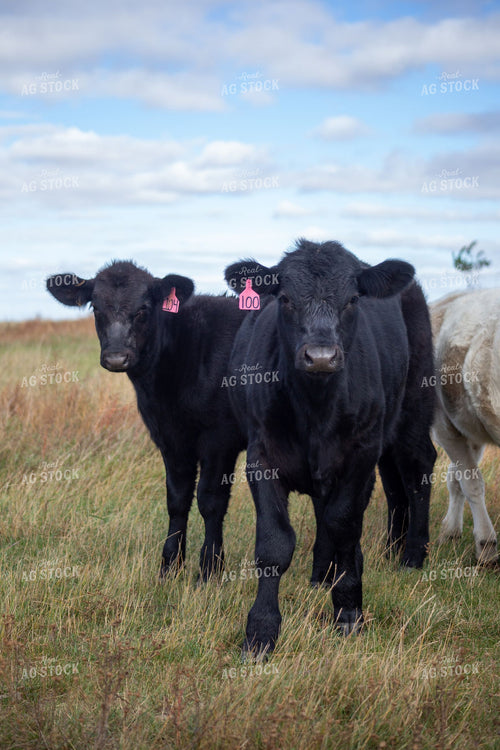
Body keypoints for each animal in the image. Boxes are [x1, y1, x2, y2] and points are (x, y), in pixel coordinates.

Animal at [46, 261, 246, 580]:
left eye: (143, 309)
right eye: (96, 308)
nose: (116, 358)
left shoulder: (219, 439)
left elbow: (211, 501)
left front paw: (210, 571)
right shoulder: (169, 438)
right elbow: (177, 500)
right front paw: (169, 567)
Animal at [224, 239, 436, 657]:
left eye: (353, 299)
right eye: (285, 298)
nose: (320, 357)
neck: (315, 409)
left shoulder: (361, 453)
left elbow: (345, 524)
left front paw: (349, 610)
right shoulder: (262, 457)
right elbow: (274, 543)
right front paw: (261, 632)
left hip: (415, 407)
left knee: (418, 470)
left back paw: (410, 555)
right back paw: (329, 572)